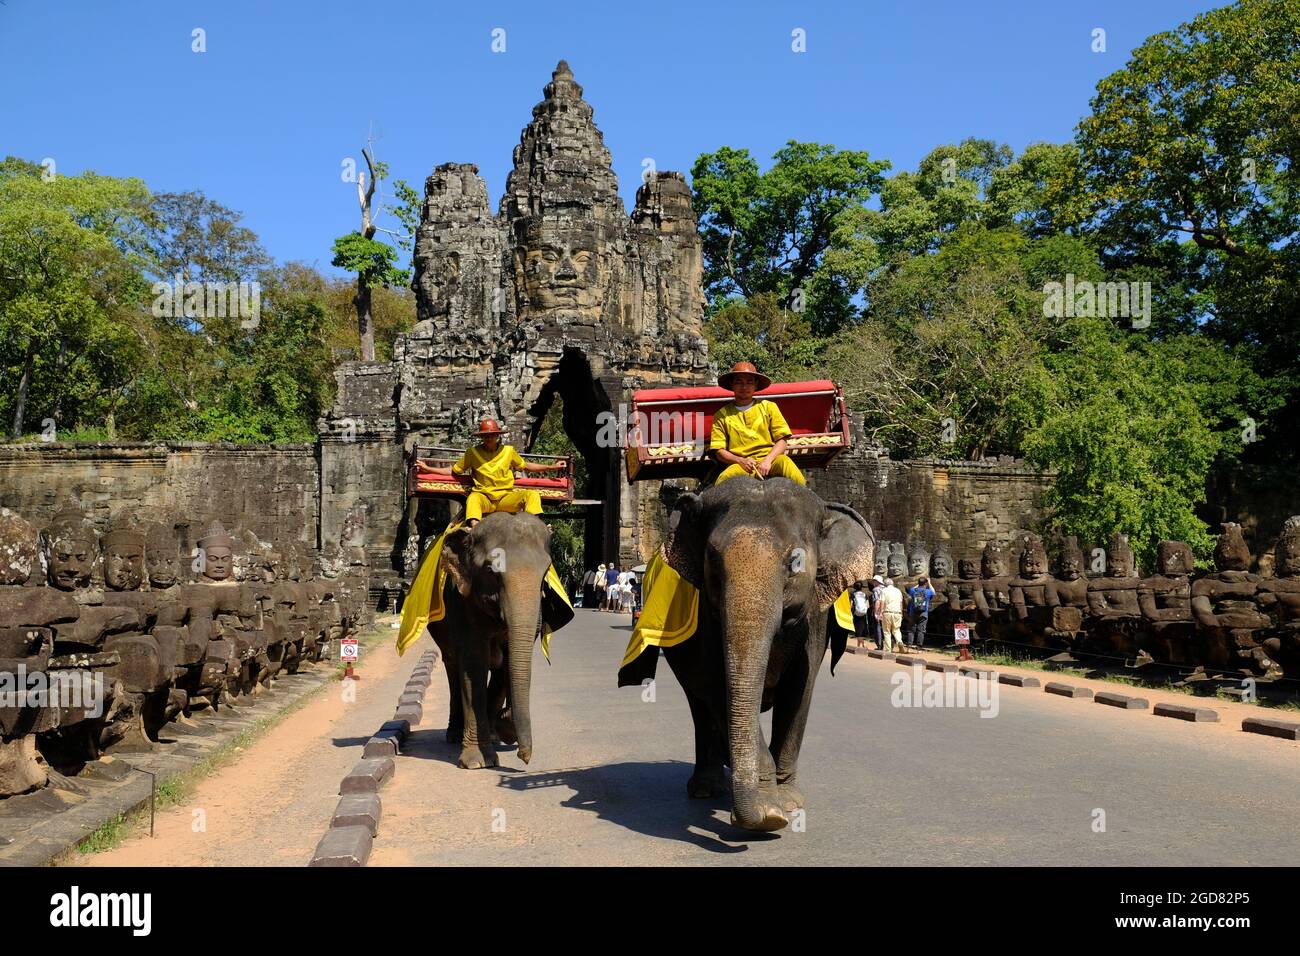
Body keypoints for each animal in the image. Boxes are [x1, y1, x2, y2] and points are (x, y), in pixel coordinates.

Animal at [431, 509, 569, 770]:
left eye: (546, 572)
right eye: (490, 570)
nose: (524, 757)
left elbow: (507, 663)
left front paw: (505, 727)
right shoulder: (460, 599)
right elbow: (474, 663)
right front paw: (477, 762)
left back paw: (493, 734)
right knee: (452, 665)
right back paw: (454, 735)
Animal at [618, 478, 873, 832]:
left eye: (795, 562)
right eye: (712, 560)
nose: (766, 817)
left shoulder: (815, 617)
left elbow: (800, 688)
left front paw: (788, 801)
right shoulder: (703, 616)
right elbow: (715, 684)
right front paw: (769, 813)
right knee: (699, 704)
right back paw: (706, 788)